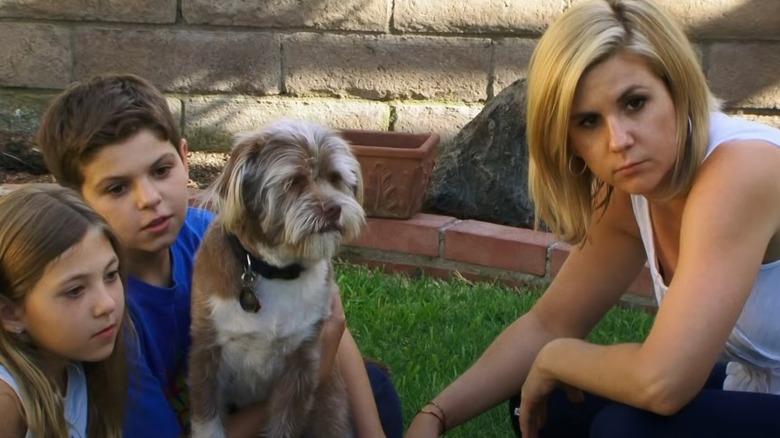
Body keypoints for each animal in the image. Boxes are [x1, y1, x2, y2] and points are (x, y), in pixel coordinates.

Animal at [187, 120, 364, 438]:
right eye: (293, 182)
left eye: (335, 178)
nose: (334, 208)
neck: (276, 272)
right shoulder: (206, 350)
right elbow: (207, 419)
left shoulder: (301, 362)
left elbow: (285, 422)